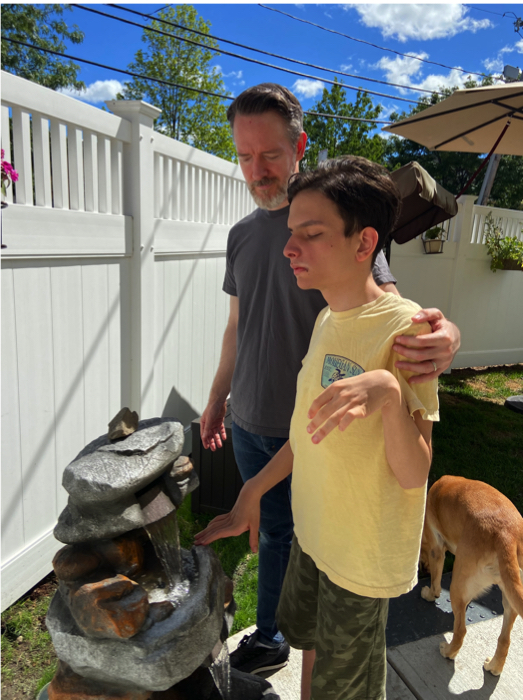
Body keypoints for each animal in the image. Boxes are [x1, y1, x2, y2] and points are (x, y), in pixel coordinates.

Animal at [422, 474, 523, 676]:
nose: (423, 571)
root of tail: (507, 535)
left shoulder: (437, 549)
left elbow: (436, 585)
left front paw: (428, 594)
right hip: (510, 598)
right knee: (505, 640)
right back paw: (494, 667)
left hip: (457, 585)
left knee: (460, 631)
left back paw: (448, 651)